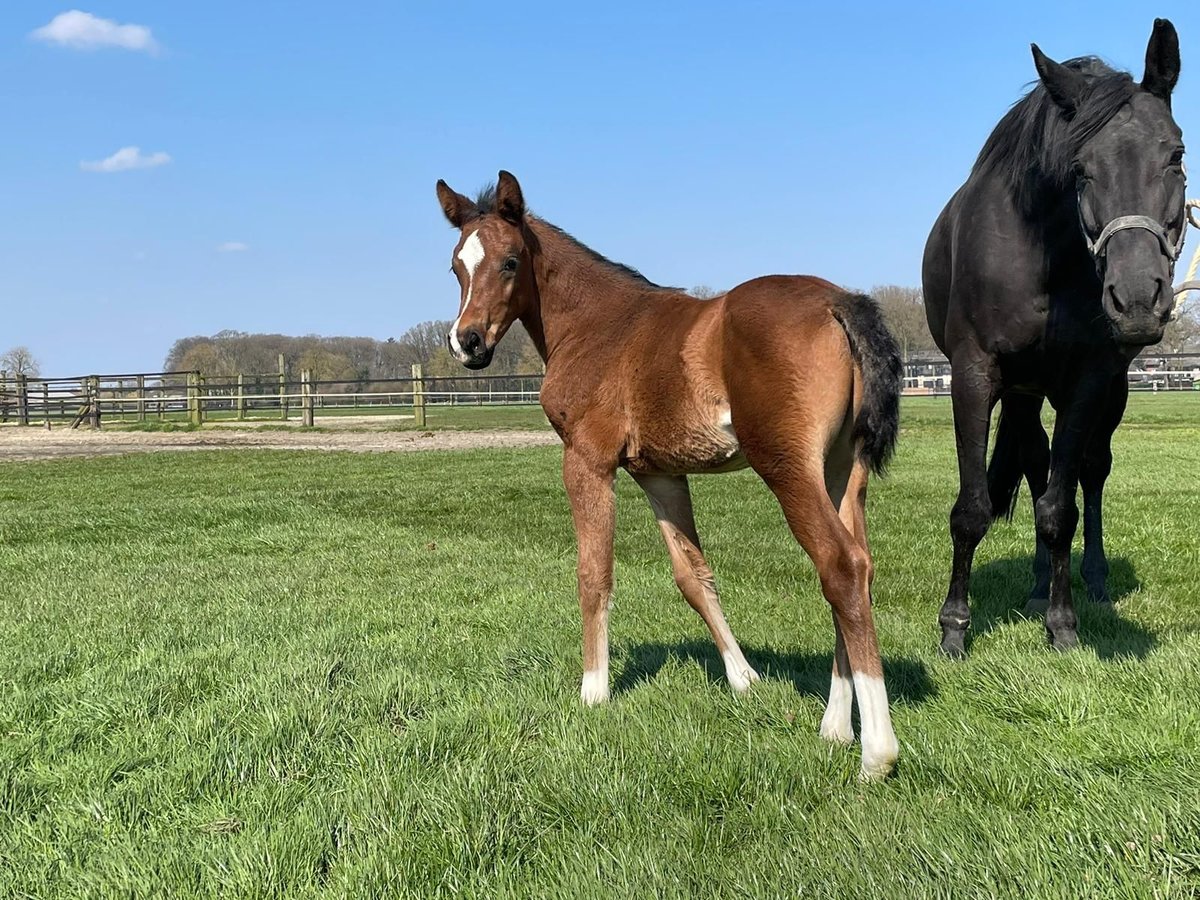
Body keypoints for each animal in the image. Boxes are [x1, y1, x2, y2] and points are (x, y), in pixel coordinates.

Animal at [439, 172, 902, 777]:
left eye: (511, 261)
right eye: (456, 265)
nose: (466, 342)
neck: (595, 326)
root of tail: (838, 300)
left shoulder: (587, 460)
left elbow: (594, 574)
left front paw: (593, 691)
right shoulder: (658, 474)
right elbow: (692, 577)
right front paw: (744, 679)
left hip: (787, 468)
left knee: (840, 566)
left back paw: (877, 751)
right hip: (841, 472)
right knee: (860, 567)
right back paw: (834, 726)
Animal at [921, 19, 1185, 657]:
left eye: (1176, 153)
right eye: (1081, 167)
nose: (1137, 299)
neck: (1043, 254)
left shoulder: (1088, 379)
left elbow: (1060, 506)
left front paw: (1064, 626)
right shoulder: (974, 374)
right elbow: (973, 507)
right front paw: (955, 627)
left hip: (1105, 393)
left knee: (1090, 471)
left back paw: (1089, 581)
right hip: (1023, 392)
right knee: (1035, 462)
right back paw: (1039, 584)